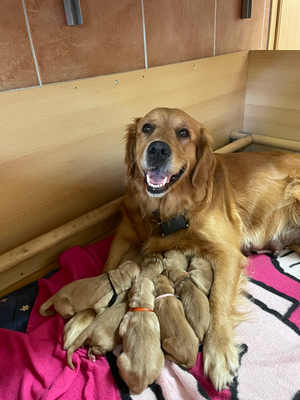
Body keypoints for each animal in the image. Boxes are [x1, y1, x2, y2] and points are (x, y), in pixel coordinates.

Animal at [102, 108, 300, 390]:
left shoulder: (228, 253)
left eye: (184, 133)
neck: (166, 212)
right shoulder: (123, 236)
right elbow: (106, 270)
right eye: (147, 128)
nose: (158, 150)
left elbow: (218, 299)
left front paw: (218, 351)